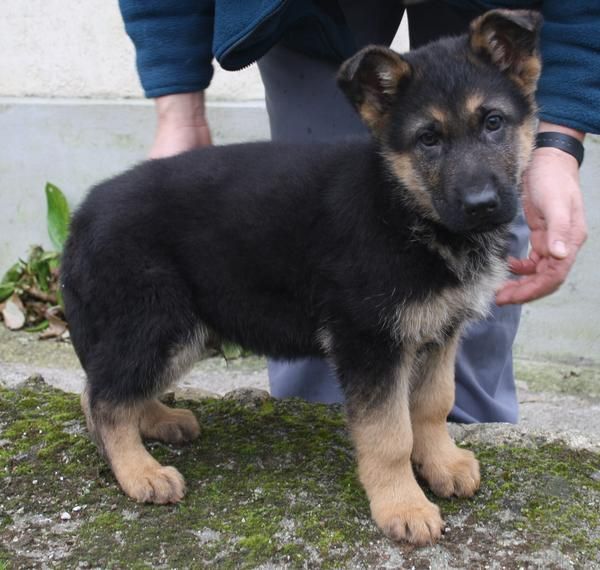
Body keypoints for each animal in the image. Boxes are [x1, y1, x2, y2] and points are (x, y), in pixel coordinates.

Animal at [62, 7, 544, 540]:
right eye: (428, 139)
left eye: (494, 123)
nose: (481, 205)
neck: (403, 206)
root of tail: (83, 215)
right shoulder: (369, 341)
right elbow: (390, 433)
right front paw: (402, 505)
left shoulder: (440, 330)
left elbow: (433, 404)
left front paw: (442, 464)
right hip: (159, 321)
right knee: (103, 398)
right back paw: (140, 472)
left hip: (176, 330)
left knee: (111, 387)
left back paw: (158, 420)